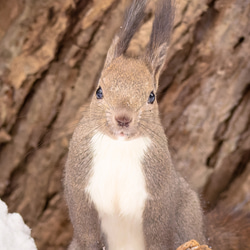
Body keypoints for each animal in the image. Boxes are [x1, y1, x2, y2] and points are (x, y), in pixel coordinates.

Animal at [64, 0, 248, 250]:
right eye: (99, 91)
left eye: (152, 96)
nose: (123, 119)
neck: (119, 147)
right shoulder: (80, 187)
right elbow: (86, 232)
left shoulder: (158, 196)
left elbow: (159, 235)